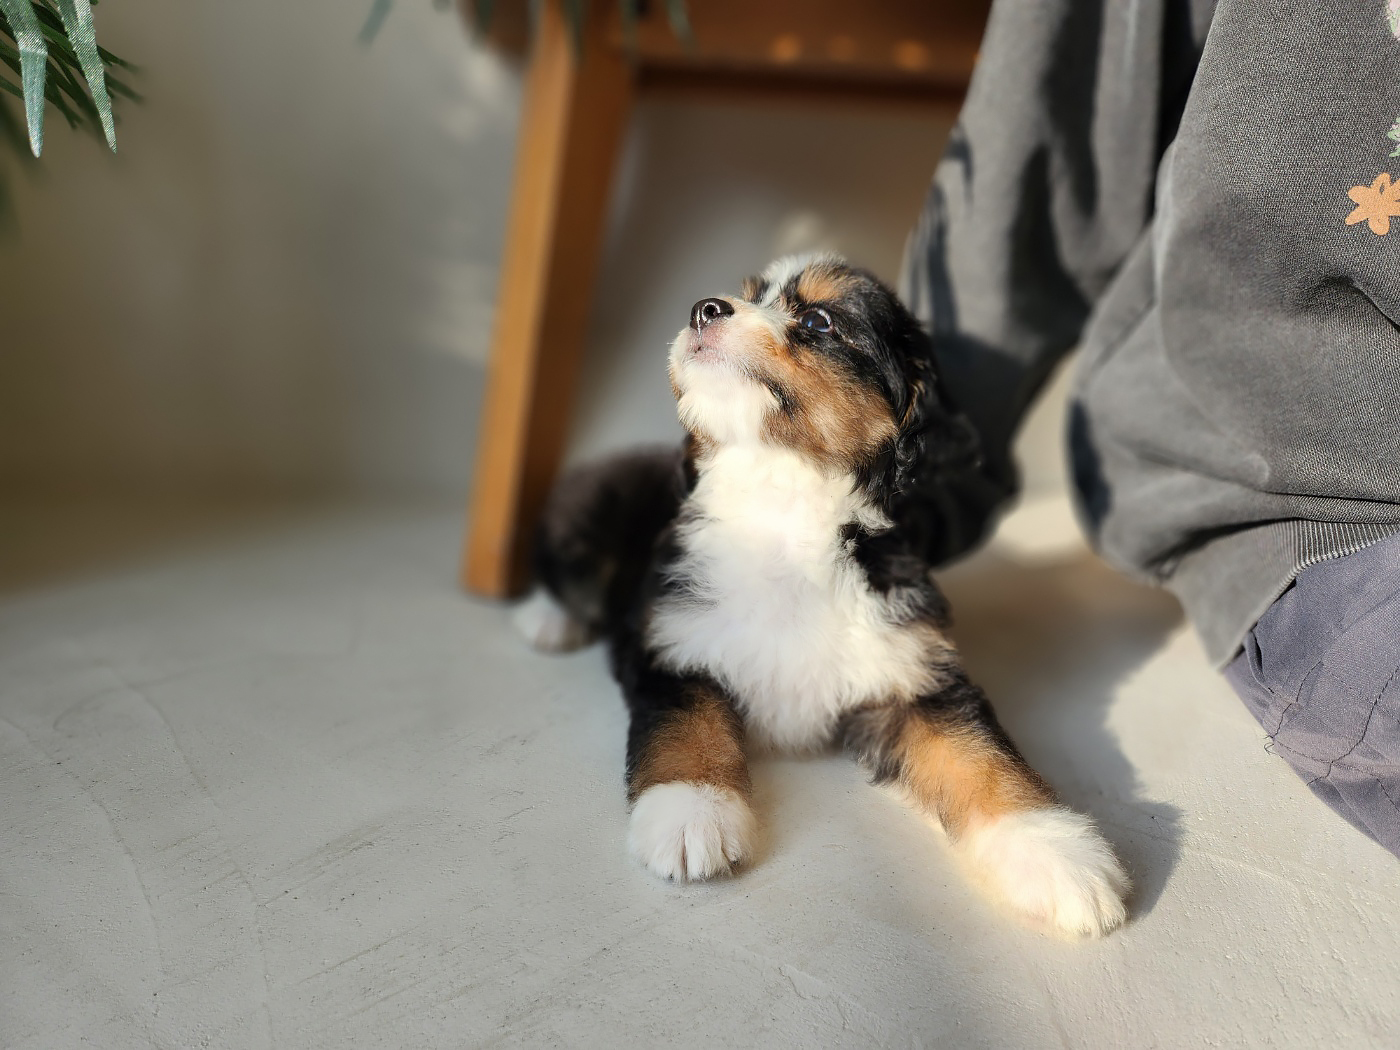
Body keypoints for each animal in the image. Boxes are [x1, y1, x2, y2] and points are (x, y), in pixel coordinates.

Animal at [514, 254, 1129, 938]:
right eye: (746, 296)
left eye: (817, 321)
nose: (704, 308)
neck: (782, 508)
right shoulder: (672, 643)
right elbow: (685, 725)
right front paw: (691, 813)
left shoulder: (914, 673)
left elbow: (982, 756)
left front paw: (1058, 853)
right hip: (590, 516)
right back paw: (546, 620)